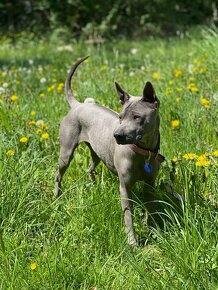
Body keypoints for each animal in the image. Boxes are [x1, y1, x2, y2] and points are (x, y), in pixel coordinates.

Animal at [55, 55, 164, 246]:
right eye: (120, 117)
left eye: (137, 117)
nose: (117, 135)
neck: (142, 151)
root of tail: (77, 105)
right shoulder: (125, 188)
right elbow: (128, 217)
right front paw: (132, 242)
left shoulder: (150, 184)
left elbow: (150, 211)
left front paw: (153, 232)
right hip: (66, 154)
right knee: (58, 175)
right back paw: (56, 198)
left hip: (97, 153)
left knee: (90, 168)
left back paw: (94, 187)